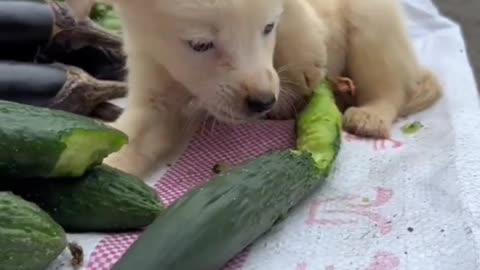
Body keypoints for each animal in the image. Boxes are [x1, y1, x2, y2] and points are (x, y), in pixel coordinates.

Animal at [103, 0, 440, 178]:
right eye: (200, 44)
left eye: (268, 28)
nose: (263, 101)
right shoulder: (152, 68)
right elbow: (136, 131)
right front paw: (106, 165)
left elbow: (295, 13)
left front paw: (304, 63)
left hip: (372, 21)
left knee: (388, 81)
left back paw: (370, 115)